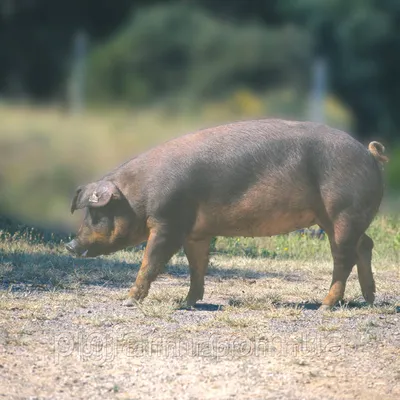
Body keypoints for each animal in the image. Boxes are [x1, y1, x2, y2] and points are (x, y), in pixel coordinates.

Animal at [65, 119, 388, 310]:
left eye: (97, 213)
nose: (70, 245)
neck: (138, 195)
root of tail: (370, 153)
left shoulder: (169, 222)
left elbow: (151, 262)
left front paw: (128, 301)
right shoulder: (196, 232)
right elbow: (197, 266)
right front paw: (186, 304)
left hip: (343, 212)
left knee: (344, 257)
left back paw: (325, 306)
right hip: (332, 219)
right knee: (365, 245)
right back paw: (369, 300)